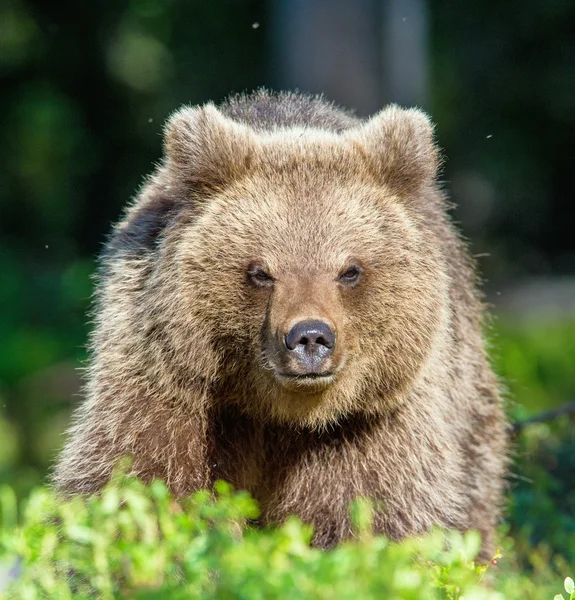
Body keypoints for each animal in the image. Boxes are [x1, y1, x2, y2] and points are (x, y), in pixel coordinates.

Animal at [51, 90, 506, 564]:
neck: (278, 414)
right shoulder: (169, 386)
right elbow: (139, 483)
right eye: (260, 272)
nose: (310, 337)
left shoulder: (371, 422)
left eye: (349, 270)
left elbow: (375, 511)